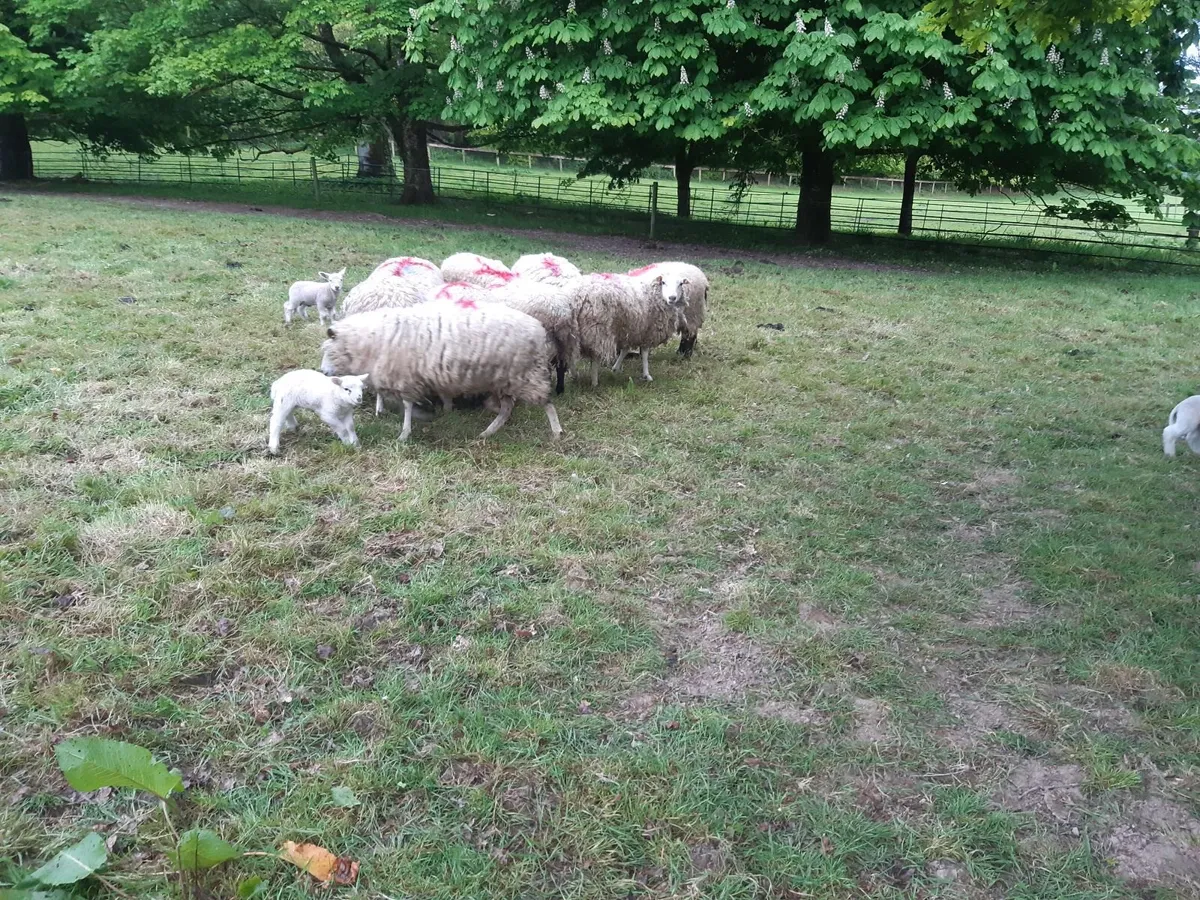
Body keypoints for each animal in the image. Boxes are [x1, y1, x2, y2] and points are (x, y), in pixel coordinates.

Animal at [319, 301, 563, 442]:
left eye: (328, 350)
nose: (323, 372)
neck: (370, 340)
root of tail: (539, 329)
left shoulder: (405, 377)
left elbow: (407, 406)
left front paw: (404, 433)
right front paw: (443, 410)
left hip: (527, 375)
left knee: (547, 403)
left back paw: (557, 431)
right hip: (505, 379)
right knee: (506, 409)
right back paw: (487, 432)